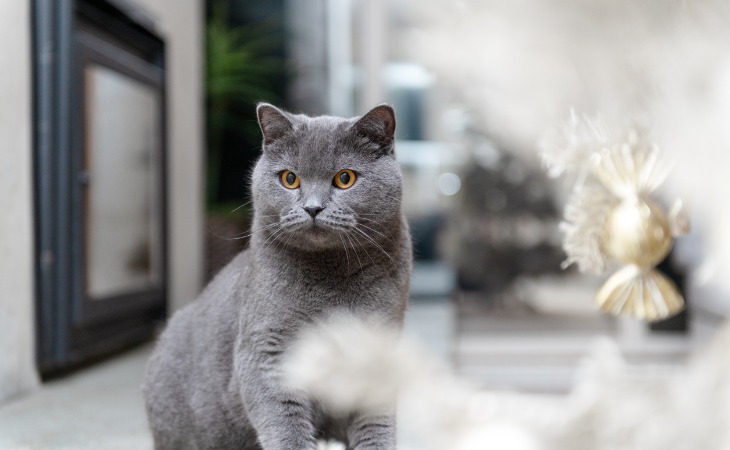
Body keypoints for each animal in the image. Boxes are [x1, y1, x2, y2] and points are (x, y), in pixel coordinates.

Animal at [144, 103, 410, 448]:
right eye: (289, 178)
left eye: (345, 178)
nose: (312, 208)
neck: (330, 279)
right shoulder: (266, 350)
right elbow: (284, 422)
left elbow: (376, 423)